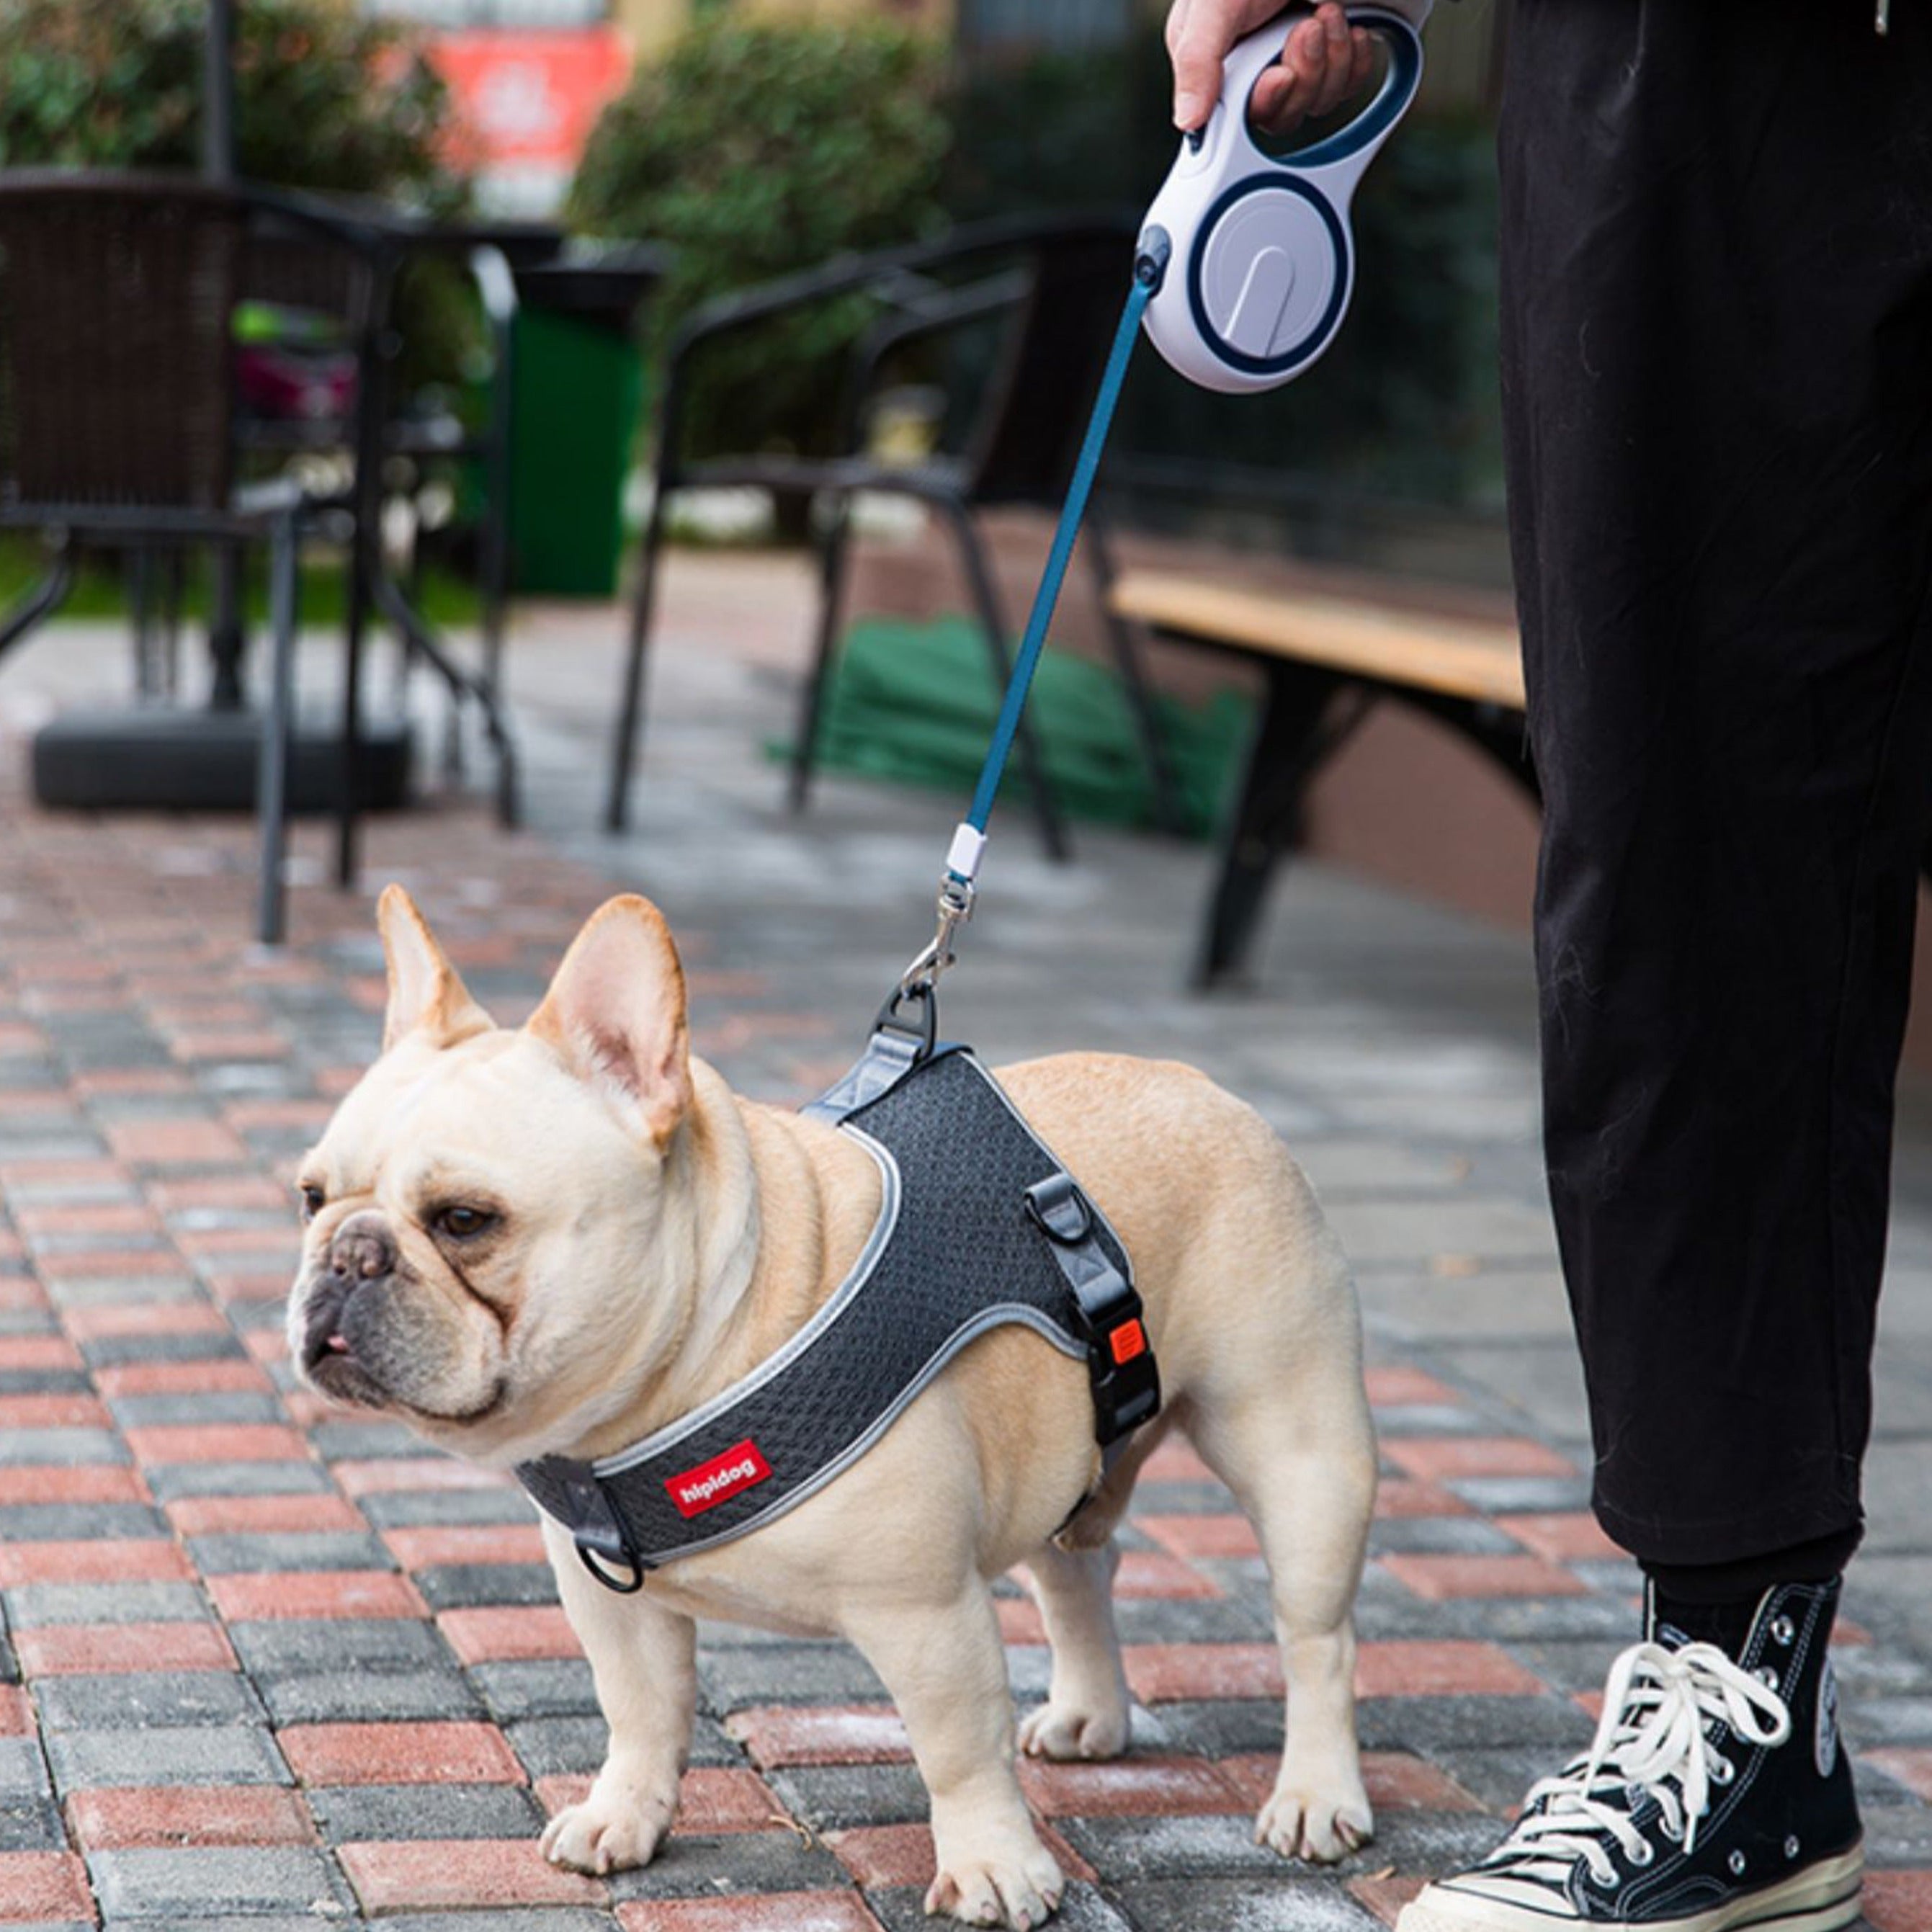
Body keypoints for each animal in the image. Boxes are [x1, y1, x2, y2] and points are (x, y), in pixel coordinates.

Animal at [282, 888, 1375, 1932]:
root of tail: (1204, 1086)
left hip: (1297, 1450)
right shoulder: (610, 1600)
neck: (709, 1341)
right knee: (1080, 1573)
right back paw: (1087, 1716)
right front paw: (623, 1816)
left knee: (1314, 1636)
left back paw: (1317, 1796)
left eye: (466, 1220)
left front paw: (995, 1867)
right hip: (1070, 1460)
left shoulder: (924, 1612)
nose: (348, 1254)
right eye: (311, 1198)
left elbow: (957, 1748)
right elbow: (638, 1712)